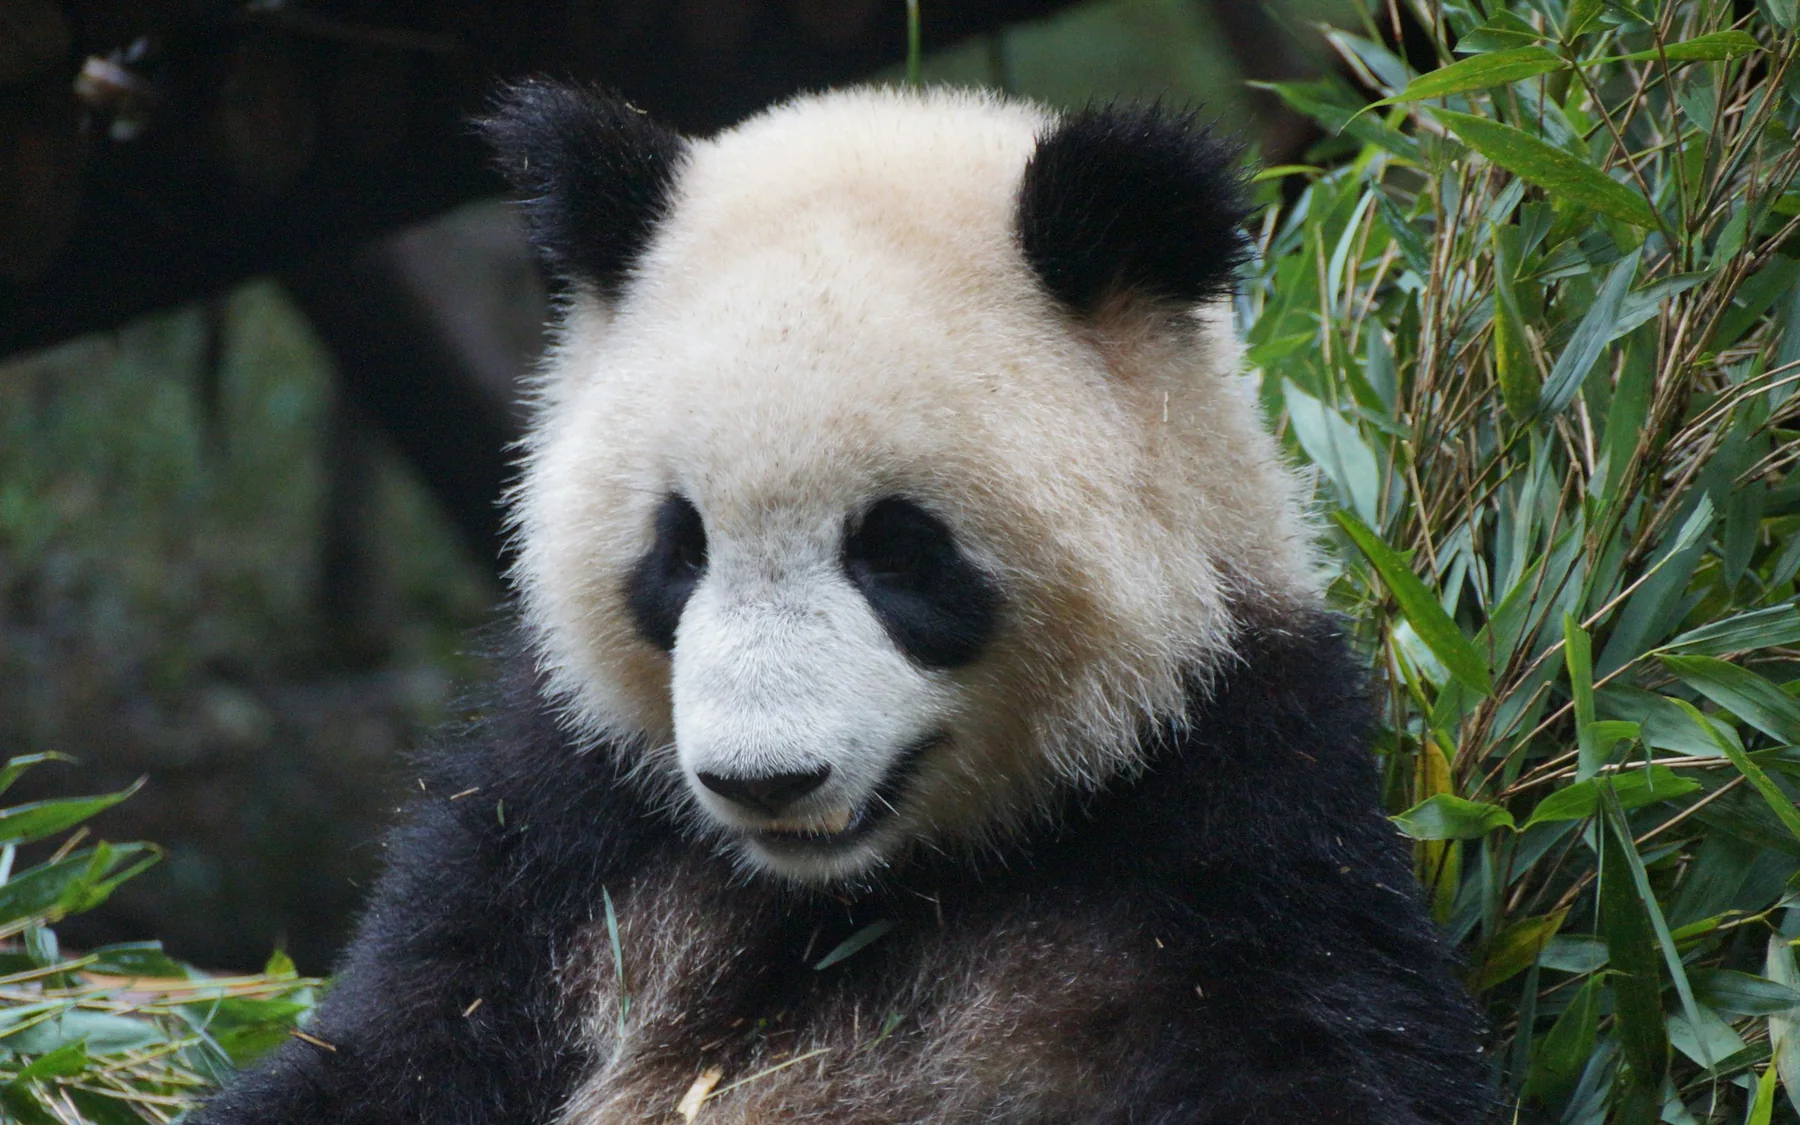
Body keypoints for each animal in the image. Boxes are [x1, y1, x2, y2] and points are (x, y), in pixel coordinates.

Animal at [194, 81, 1490, 1124]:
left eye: (900, 554)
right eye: (679, 549)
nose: (766, 780)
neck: (849, 892)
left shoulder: (1231, 811)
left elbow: (1314, 1050)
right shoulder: (557, 834)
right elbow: (387, 1048)